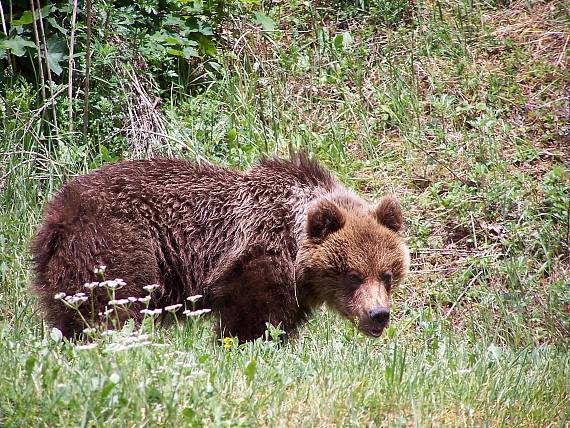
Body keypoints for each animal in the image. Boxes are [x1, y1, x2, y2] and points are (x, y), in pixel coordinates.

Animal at [31, 154, 408, 342]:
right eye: (353, 275)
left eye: (387, 275)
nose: (379, 314)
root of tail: (57, 214)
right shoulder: (256, 256)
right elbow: (252, 316)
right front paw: (245, 344)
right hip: (117, 243)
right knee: (112, 306)